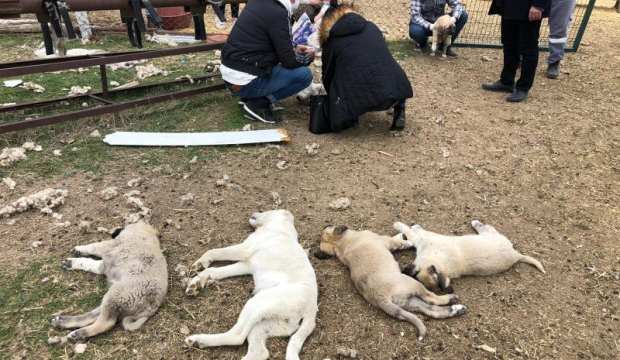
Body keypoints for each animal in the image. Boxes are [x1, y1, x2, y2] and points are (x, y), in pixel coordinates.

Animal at [184, 208, 318, 360]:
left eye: (268, 210)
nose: (254, 212)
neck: (281, 229)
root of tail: (311, 310)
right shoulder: (246, 264)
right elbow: (215, 271)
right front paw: (197, 282)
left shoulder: (244, 249)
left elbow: (214, 251)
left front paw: (200, 264)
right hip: (264, 324)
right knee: (260, 352)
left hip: (257, 304)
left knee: (237, 337)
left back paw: (198, 340)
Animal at [320, 225, 464, 340]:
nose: (326, 225)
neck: (341, 243)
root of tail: (381, 298)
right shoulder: (387, 241)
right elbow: (399, 241)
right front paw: (407, 239)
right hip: (413, 284)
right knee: (432, 299)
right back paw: (451, 299)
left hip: (409, 303)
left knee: (431, 310)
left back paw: (457, 309)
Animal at [394, 219, 544, 292]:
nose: (405, 270)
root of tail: (516, 254)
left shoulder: (422, 239)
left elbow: (409, 231)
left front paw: (400, 225)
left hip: (490, 233)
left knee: (486, 227)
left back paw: (475, 222)